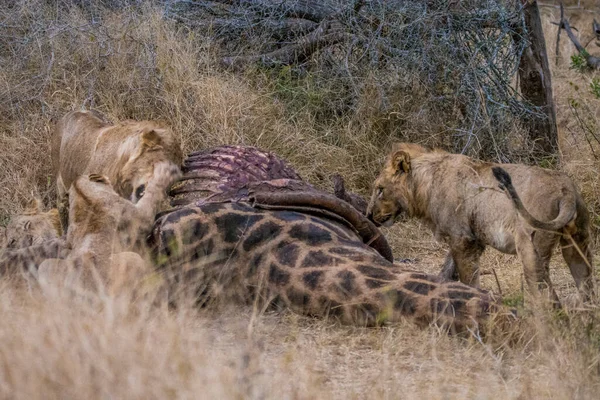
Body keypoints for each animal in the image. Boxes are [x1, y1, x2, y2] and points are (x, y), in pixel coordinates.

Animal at [38, 162, 180, 294]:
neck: (82, 195)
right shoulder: (138, 216)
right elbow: (152, 194)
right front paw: (164, 172)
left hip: (45, 266)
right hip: (133, 259)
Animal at [366, 144, 596, 306]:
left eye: (380, 189)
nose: (368, 215)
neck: (425, 183)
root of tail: (565, 189)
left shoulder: (462, 239)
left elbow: (468, 277)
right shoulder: (470, 237)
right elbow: (447, 270)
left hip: (531, 249)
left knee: (549, 297)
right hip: (577, 243)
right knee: (586, 286)